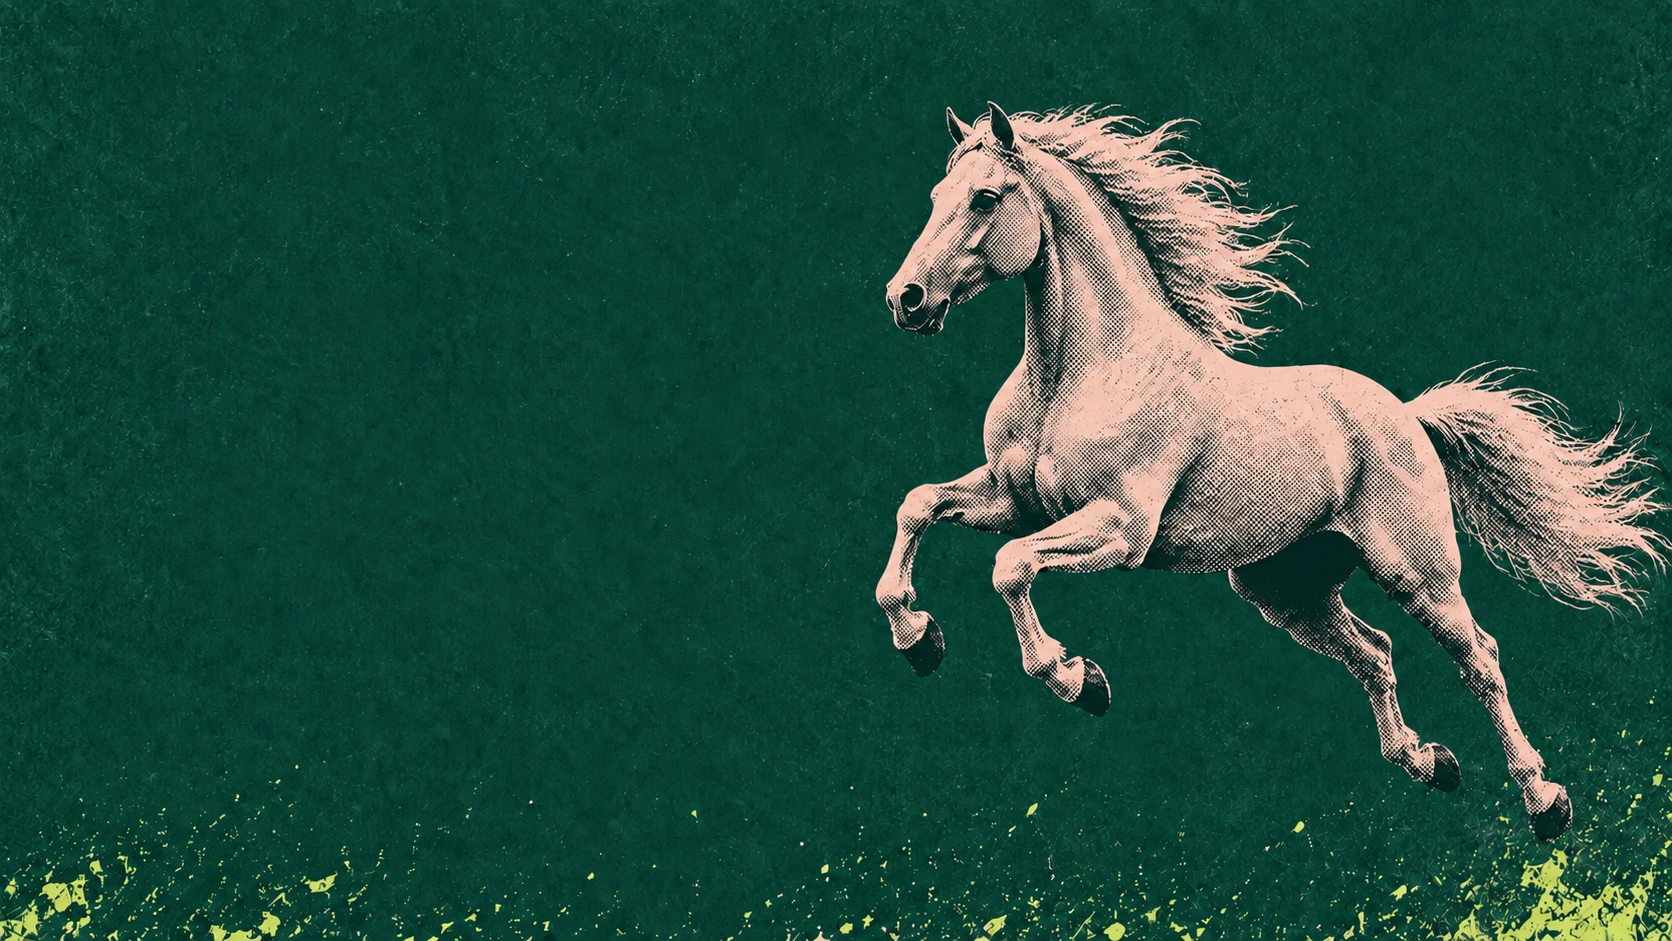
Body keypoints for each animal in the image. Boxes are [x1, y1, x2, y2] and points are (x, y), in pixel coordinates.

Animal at [875, 102, 1667, 841]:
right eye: (936, 194)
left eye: (984, 197)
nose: (904, 299)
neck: (1081, 371)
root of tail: (1408, 415)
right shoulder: (1017, 501)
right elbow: (918, 505)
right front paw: (918, 638)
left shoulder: (1120, 529)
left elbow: (1010, 567)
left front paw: (1078, 678)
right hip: (1287, 589)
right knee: (1376, 654)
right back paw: (1428, 761)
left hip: (1417, 573)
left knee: (1480, 658)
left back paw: (1545, 800)